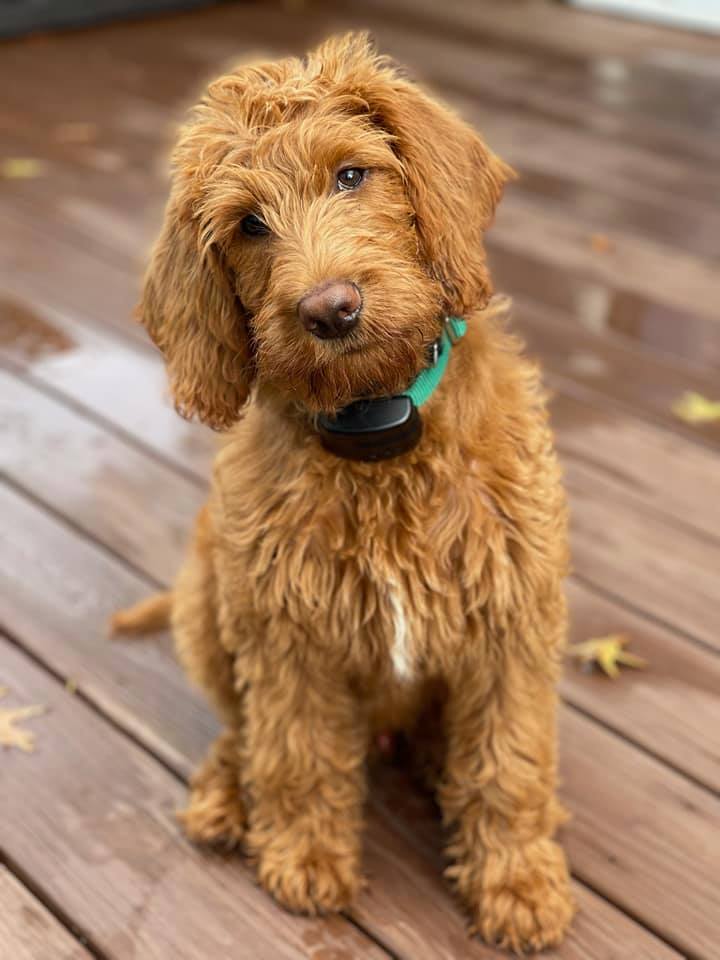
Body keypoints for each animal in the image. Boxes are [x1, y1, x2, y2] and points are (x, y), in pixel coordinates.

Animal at [115, 30, 576, 952]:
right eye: (248, 225)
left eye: (353, 174)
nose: (331, 309)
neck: (379, 429)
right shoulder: (286, 635)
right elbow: (296, 751)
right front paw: (304, 857)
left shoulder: (511, 622)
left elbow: (508, 763)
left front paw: (517, 883)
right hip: (209, 597)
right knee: (241, 729)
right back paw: (225, 796)